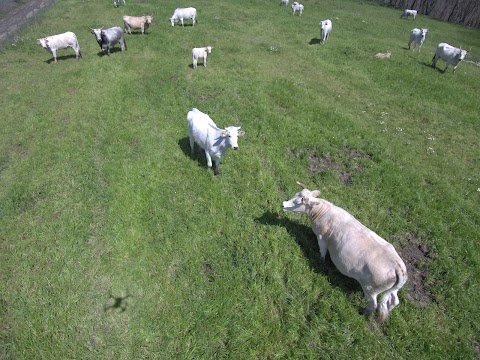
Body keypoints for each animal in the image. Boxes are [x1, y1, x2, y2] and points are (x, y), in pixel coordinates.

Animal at [284, 181, 406, 322]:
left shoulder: (322, 237)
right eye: (294, 195)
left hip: (370, 288)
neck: (322, 211)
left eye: (297, 202)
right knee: (394, 301)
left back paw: (364, 313)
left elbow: (322, 251)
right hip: (392, 288)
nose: (283, 204)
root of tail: (397, 266)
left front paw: (320, 261)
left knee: (373, 304)